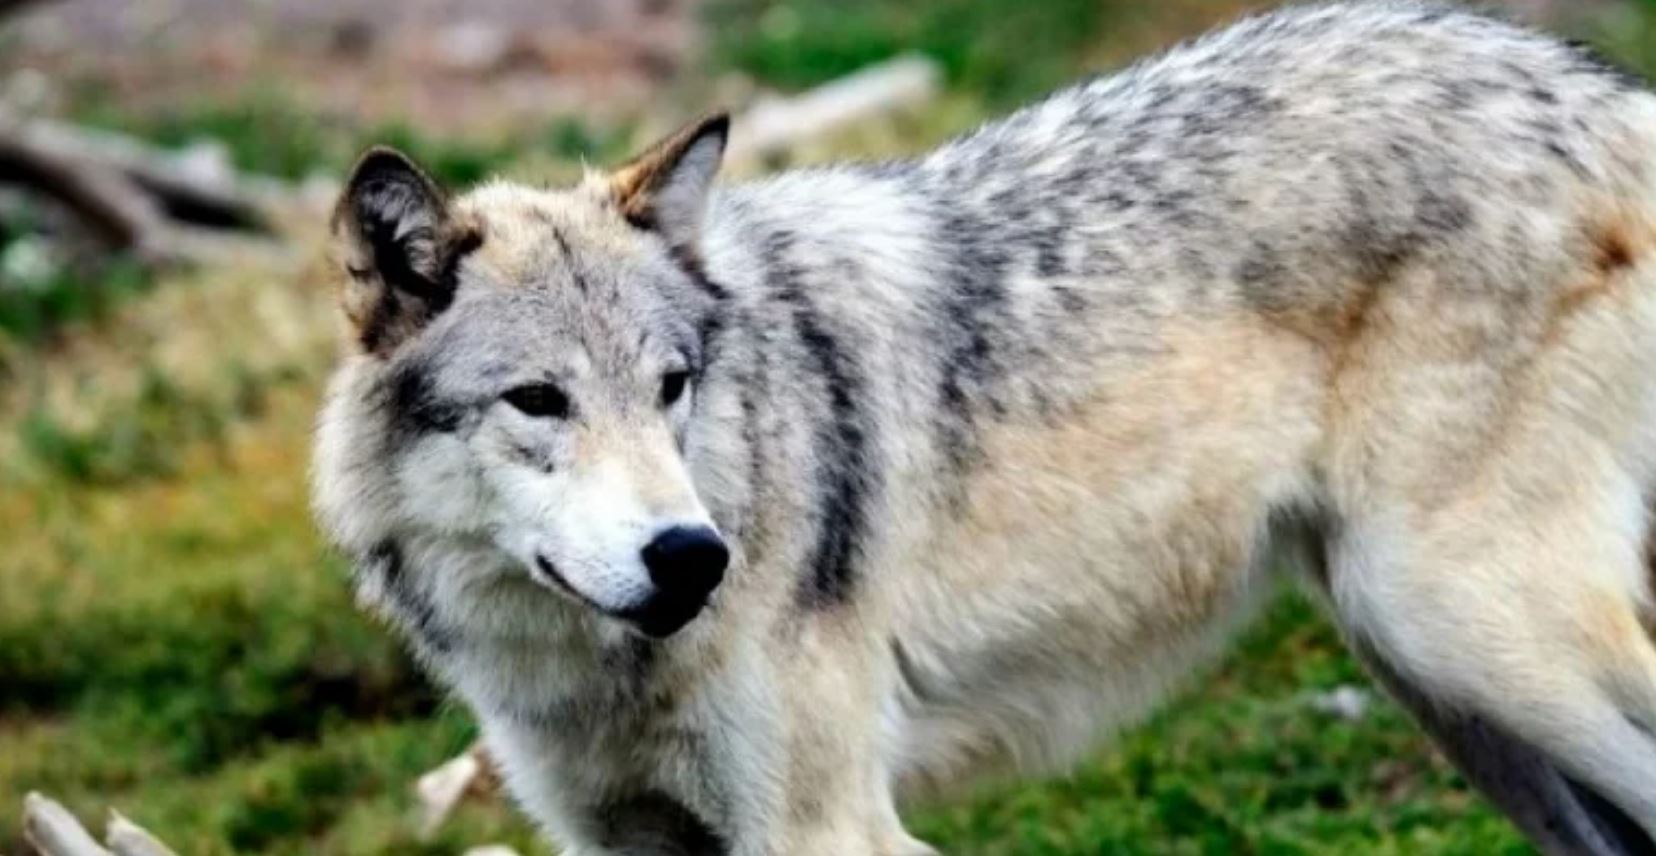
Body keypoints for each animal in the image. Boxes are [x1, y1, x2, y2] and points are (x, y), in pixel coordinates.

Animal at [312, 1, 1656, 852]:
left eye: (672, 384)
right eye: (539, 400)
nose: (693, 558)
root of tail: (1600, 89)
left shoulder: (825, 829)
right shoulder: (621, 837)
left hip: (1459, 628)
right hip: (1445, 683)